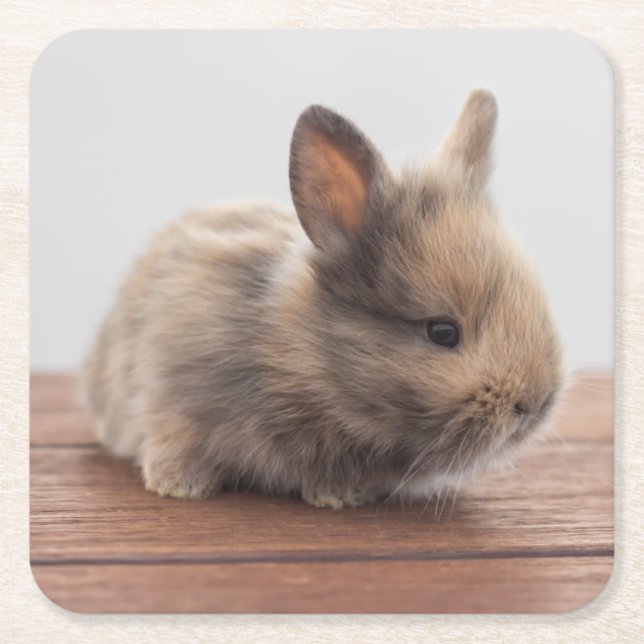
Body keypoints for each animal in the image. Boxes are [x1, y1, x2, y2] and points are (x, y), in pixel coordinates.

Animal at [83, 89, 563, 509]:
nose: (534, 404)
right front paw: (180, 487)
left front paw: (340, 496)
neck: (299, 361)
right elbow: (173, 437)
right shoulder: (172, 389)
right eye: (442, 332)